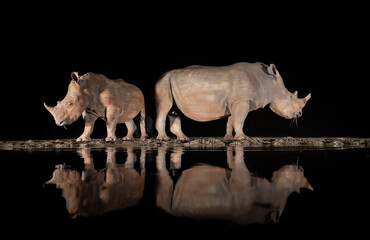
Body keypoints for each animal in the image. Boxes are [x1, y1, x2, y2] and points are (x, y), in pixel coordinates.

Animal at [155, 61, 310, 141]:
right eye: (290, 97)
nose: (300, 114)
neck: (267, 82)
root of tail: (163, 75)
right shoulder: (242, 100)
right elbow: (240, 119)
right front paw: (243, 138)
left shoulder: (235, 101)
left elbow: (231, 120)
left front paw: (229, 138)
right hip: (163, 82)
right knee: (165, 107)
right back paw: (164, 139)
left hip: (168, 82)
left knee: (174, 111)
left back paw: (184, 139)